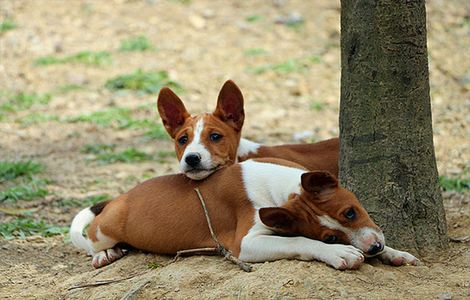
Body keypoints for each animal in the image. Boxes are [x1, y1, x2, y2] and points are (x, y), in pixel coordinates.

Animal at [70, 159, 418, 270]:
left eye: (351, 212)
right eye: (329, 237)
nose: (373, 248)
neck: (282, 188)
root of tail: (120, 197)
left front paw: (394, 253)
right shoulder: (245, 244)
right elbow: (301, 242)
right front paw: (341, 254)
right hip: (108, 226)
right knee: (92, 239)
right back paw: (104, 254)